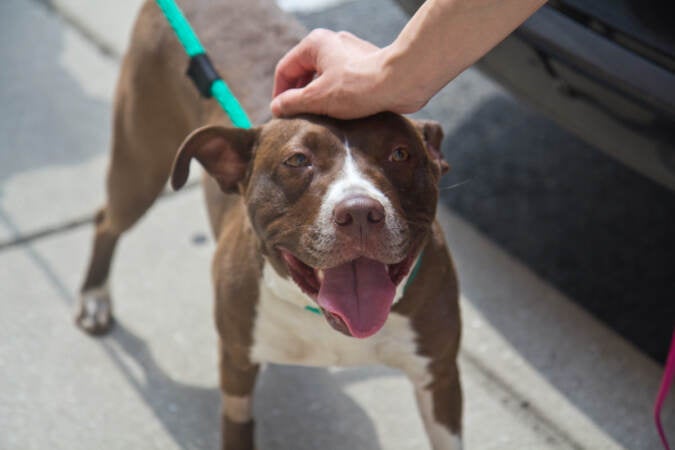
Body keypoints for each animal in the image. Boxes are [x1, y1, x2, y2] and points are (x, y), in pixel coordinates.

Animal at [76, 1, 462, 448]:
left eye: (400, 153)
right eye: (296, 160)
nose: (360, 212)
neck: (320, 317)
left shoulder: (440, 376)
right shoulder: (236, 362)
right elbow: (237, 425)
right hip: (141, 161)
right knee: (106, 219)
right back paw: (94, 297)